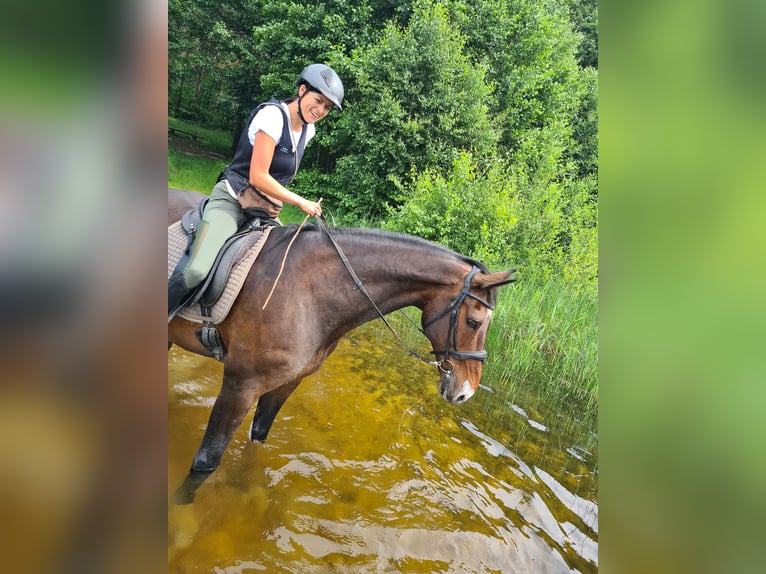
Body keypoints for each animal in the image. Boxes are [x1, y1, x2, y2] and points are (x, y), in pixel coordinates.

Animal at [168, 190, 516, 504]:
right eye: (473, 321)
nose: (465, 392)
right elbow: (205, 462)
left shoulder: (287, 383)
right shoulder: (241, 385)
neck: (310, 292)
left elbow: (257, 439)